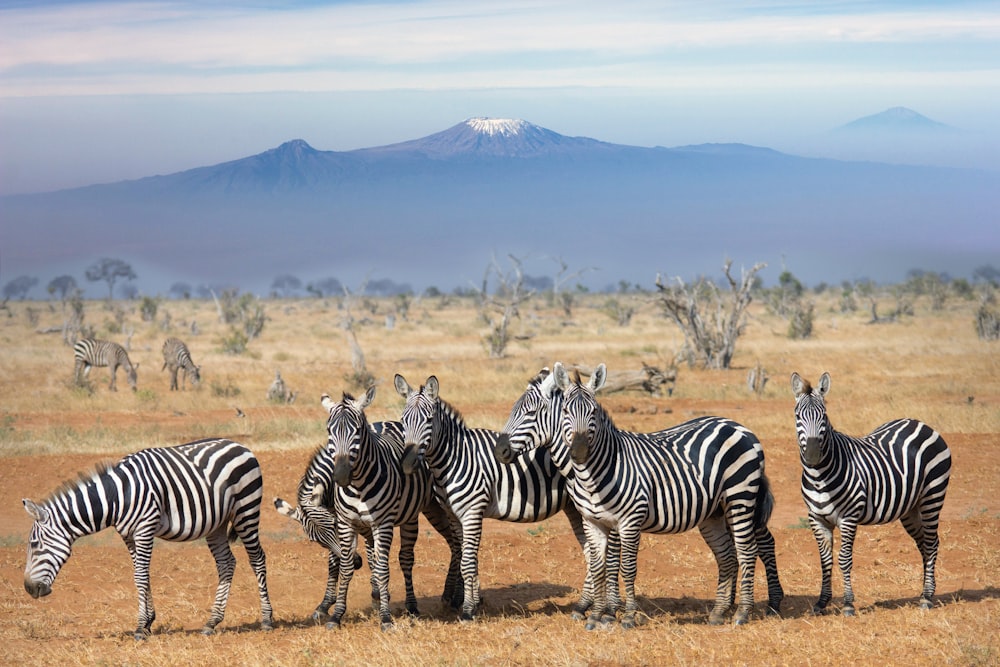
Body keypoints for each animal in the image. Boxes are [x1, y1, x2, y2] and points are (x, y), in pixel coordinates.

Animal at [23, 438, 274, 640]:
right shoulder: (128, 535)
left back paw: (267, 620)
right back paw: (212, 622)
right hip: (217, 524)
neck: (116, 497)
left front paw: (140, 627)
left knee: (257, 559)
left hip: (246, 511)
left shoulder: (144, 528)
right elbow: (141, 575)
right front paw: (148, 622)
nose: (28, 588)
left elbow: (141, 576)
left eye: (35, 545)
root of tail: (240, 445)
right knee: (226, 564)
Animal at [392, 374, 608, 624]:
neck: (454, 457)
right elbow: (466, 557)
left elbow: (467, 561)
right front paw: (473, 603)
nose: (407, 464)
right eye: (403, 421)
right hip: (574, 508)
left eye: (428, 420)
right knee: (590, 552)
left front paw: (468, 610)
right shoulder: (454, 515)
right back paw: (585, 605)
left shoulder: (473, 512)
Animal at [496, 366, 784, 628]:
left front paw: (616, 613)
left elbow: (619, 566)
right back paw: (720, 611)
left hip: (741, 499)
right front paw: (598, 613)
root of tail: (738, 426)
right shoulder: (594, 519)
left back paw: (750, 610)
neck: (597, 468)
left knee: (750, 549)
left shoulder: (627, 521)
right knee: (728, 555)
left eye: (530, 413)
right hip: (715, 511)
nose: (500, 450)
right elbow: (599, 564)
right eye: (565, 412)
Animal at [792, 370, 948, 616]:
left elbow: (844, 559)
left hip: (932, 498)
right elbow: (825, 560)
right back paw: (925, 592)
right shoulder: (816, 518)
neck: (819, 477)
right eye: (798, 416)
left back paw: (927, 598)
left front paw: (847, 603)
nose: (813, 454)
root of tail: (921, 423)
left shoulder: (848, 517)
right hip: (910, 509)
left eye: (824, 416)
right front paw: (821, 602)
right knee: (925, 544)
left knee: (932, 544)